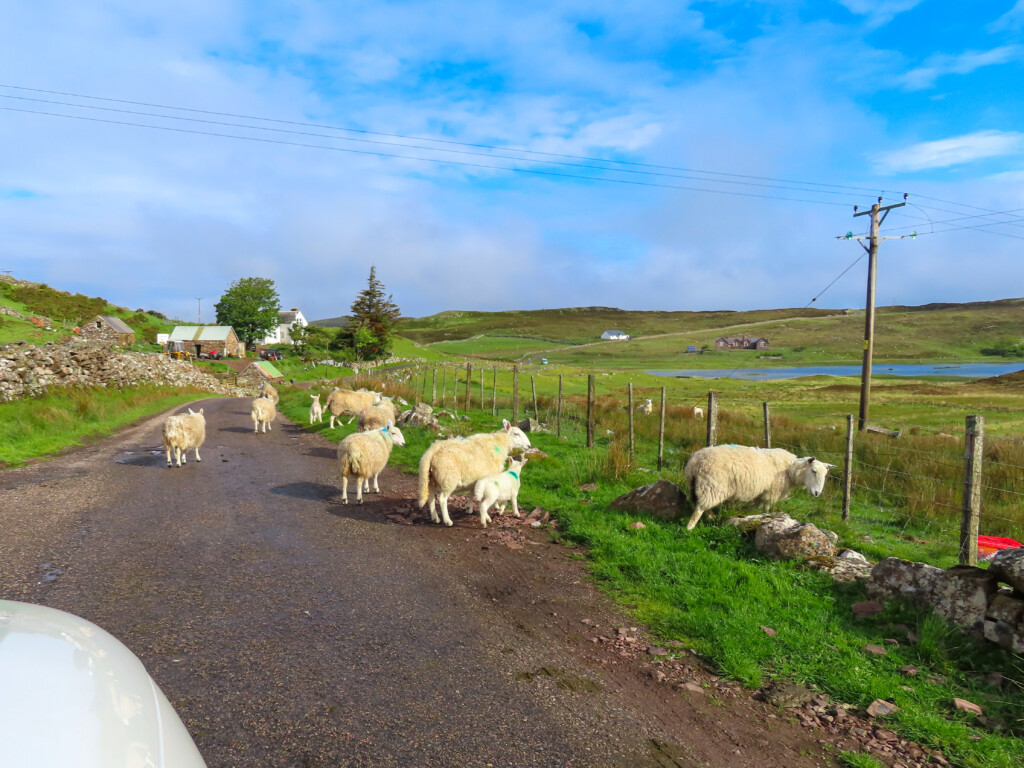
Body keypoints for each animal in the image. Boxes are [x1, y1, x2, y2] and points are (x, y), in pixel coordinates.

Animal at [679, 442, 831, 532]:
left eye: (825, 475)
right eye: (814, 471)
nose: (817, 493)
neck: (790, 469)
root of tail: (695, 462)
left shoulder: (762, 492)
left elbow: (755, 507)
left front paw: (748, 513)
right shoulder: (771, 491)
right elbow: (766, 507)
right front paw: (767, 516)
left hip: (697, 485)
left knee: (699, 504)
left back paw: (711, 517)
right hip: (712, 485)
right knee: (700, 508)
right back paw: (690, 527)